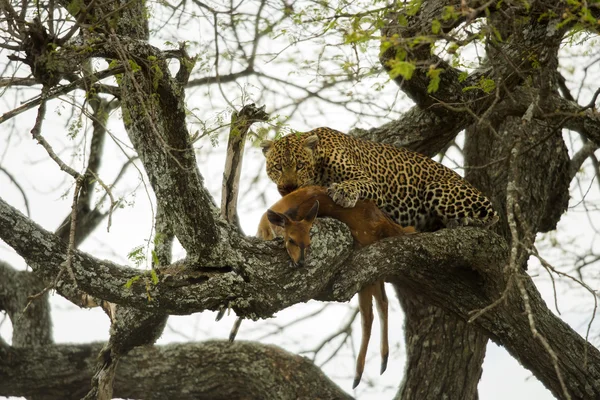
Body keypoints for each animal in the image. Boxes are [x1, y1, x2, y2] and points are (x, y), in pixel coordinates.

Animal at [260, 125, 500, 231]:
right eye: (277, 167)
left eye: (300, 166)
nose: (288, 187)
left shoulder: (373, 184)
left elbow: (355, 183)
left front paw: (343, 191)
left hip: (436, 189)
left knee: (492, 217)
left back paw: (462, 220)